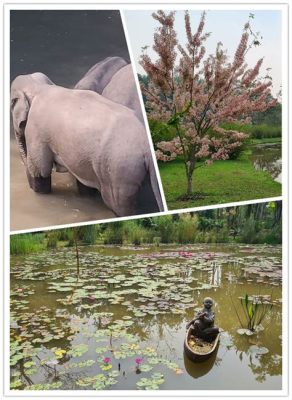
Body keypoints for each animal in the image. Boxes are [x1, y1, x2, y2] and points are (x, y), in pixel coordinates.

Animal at [10, 72, 164, 216]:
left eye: (11, 104)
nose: (30, 188)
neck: (40, 87)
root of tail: (147, 148)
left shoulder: (36, 131)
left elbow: (40, 171)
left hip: (119, 169)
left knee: (118, 204)